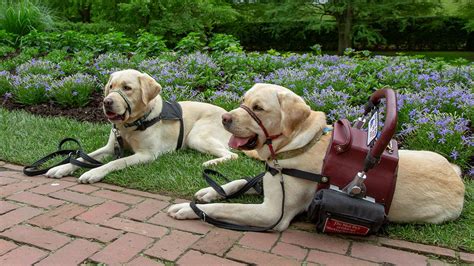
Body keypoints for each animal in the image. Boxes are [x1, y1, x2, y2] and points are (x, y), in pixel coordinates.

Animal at [45, 69, 237, 184]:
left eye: (127, 88)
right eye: (110, 86)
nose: (106, 102)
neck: (130, 125)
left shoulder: (146, 155)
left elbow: (116, 162)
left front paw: (94, 173)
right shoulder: (111, 148)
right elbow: (84, 157)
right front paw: (61, 168)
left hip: (195, 137)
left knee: (232, 155)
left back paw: (211, 162)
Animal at [168, 83, 466, 231]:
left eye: (259, 108)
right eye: (243, 101)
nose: (225, 118)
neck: (297, 144)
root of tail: (459, 178)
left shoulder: (272, 213)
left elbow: (226, 208)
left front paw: (188, 209)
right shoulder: (271, 180)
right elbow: (239, 182)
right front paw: (210, 191)